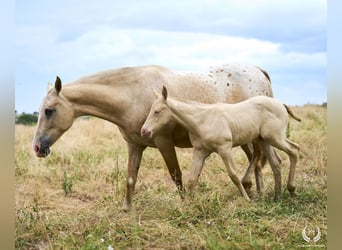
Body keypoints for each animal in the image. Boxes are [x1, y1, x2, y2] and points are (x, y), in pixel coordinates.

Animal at [32, 63, 272, 211]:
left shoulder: (164, 143)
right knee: (260, 160)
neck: (132, 95)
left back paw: (252, 188)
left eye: (49, 111)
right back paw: (258, 192)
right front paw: (127, 209)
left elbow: (176, 176)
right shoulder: (135, 145)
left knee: (259, 158)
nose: (36, 147)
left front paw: (184, 204)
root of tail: (259, 71)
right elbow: (131, 178)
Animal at [141, 86, 300, 201]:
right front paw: (187, 204)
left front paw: (246, 199)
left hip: (275, 138)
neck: (202, 120)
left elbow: (233, 175)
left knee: (294, 150)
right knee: (276, 162)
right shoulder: (200, 151)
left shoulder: (225, 148)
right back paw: (277, 197)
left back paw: (291, 189)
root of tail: (281, 104)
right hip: (264, 140)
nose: (144, 131)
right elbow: (192, 179)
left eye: (157, 111)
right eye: (150, 110)